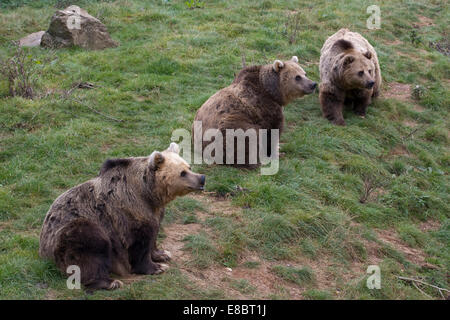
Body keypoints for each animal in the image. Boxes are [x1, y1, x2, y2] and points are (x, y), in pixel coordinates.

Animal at [39, 144, 205, 292]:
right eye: (182, 173)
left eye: (189, 167)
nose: (202, 178)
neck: (148, 193)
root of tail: (43, 251)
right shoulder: (128, 213)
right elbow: (139, 243)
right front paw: (156, 267)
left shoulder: (154, 212)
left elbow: (153, 235)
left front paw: (163, 254)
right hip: (73, 231)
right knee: (90, 250)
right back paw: (110, 282)